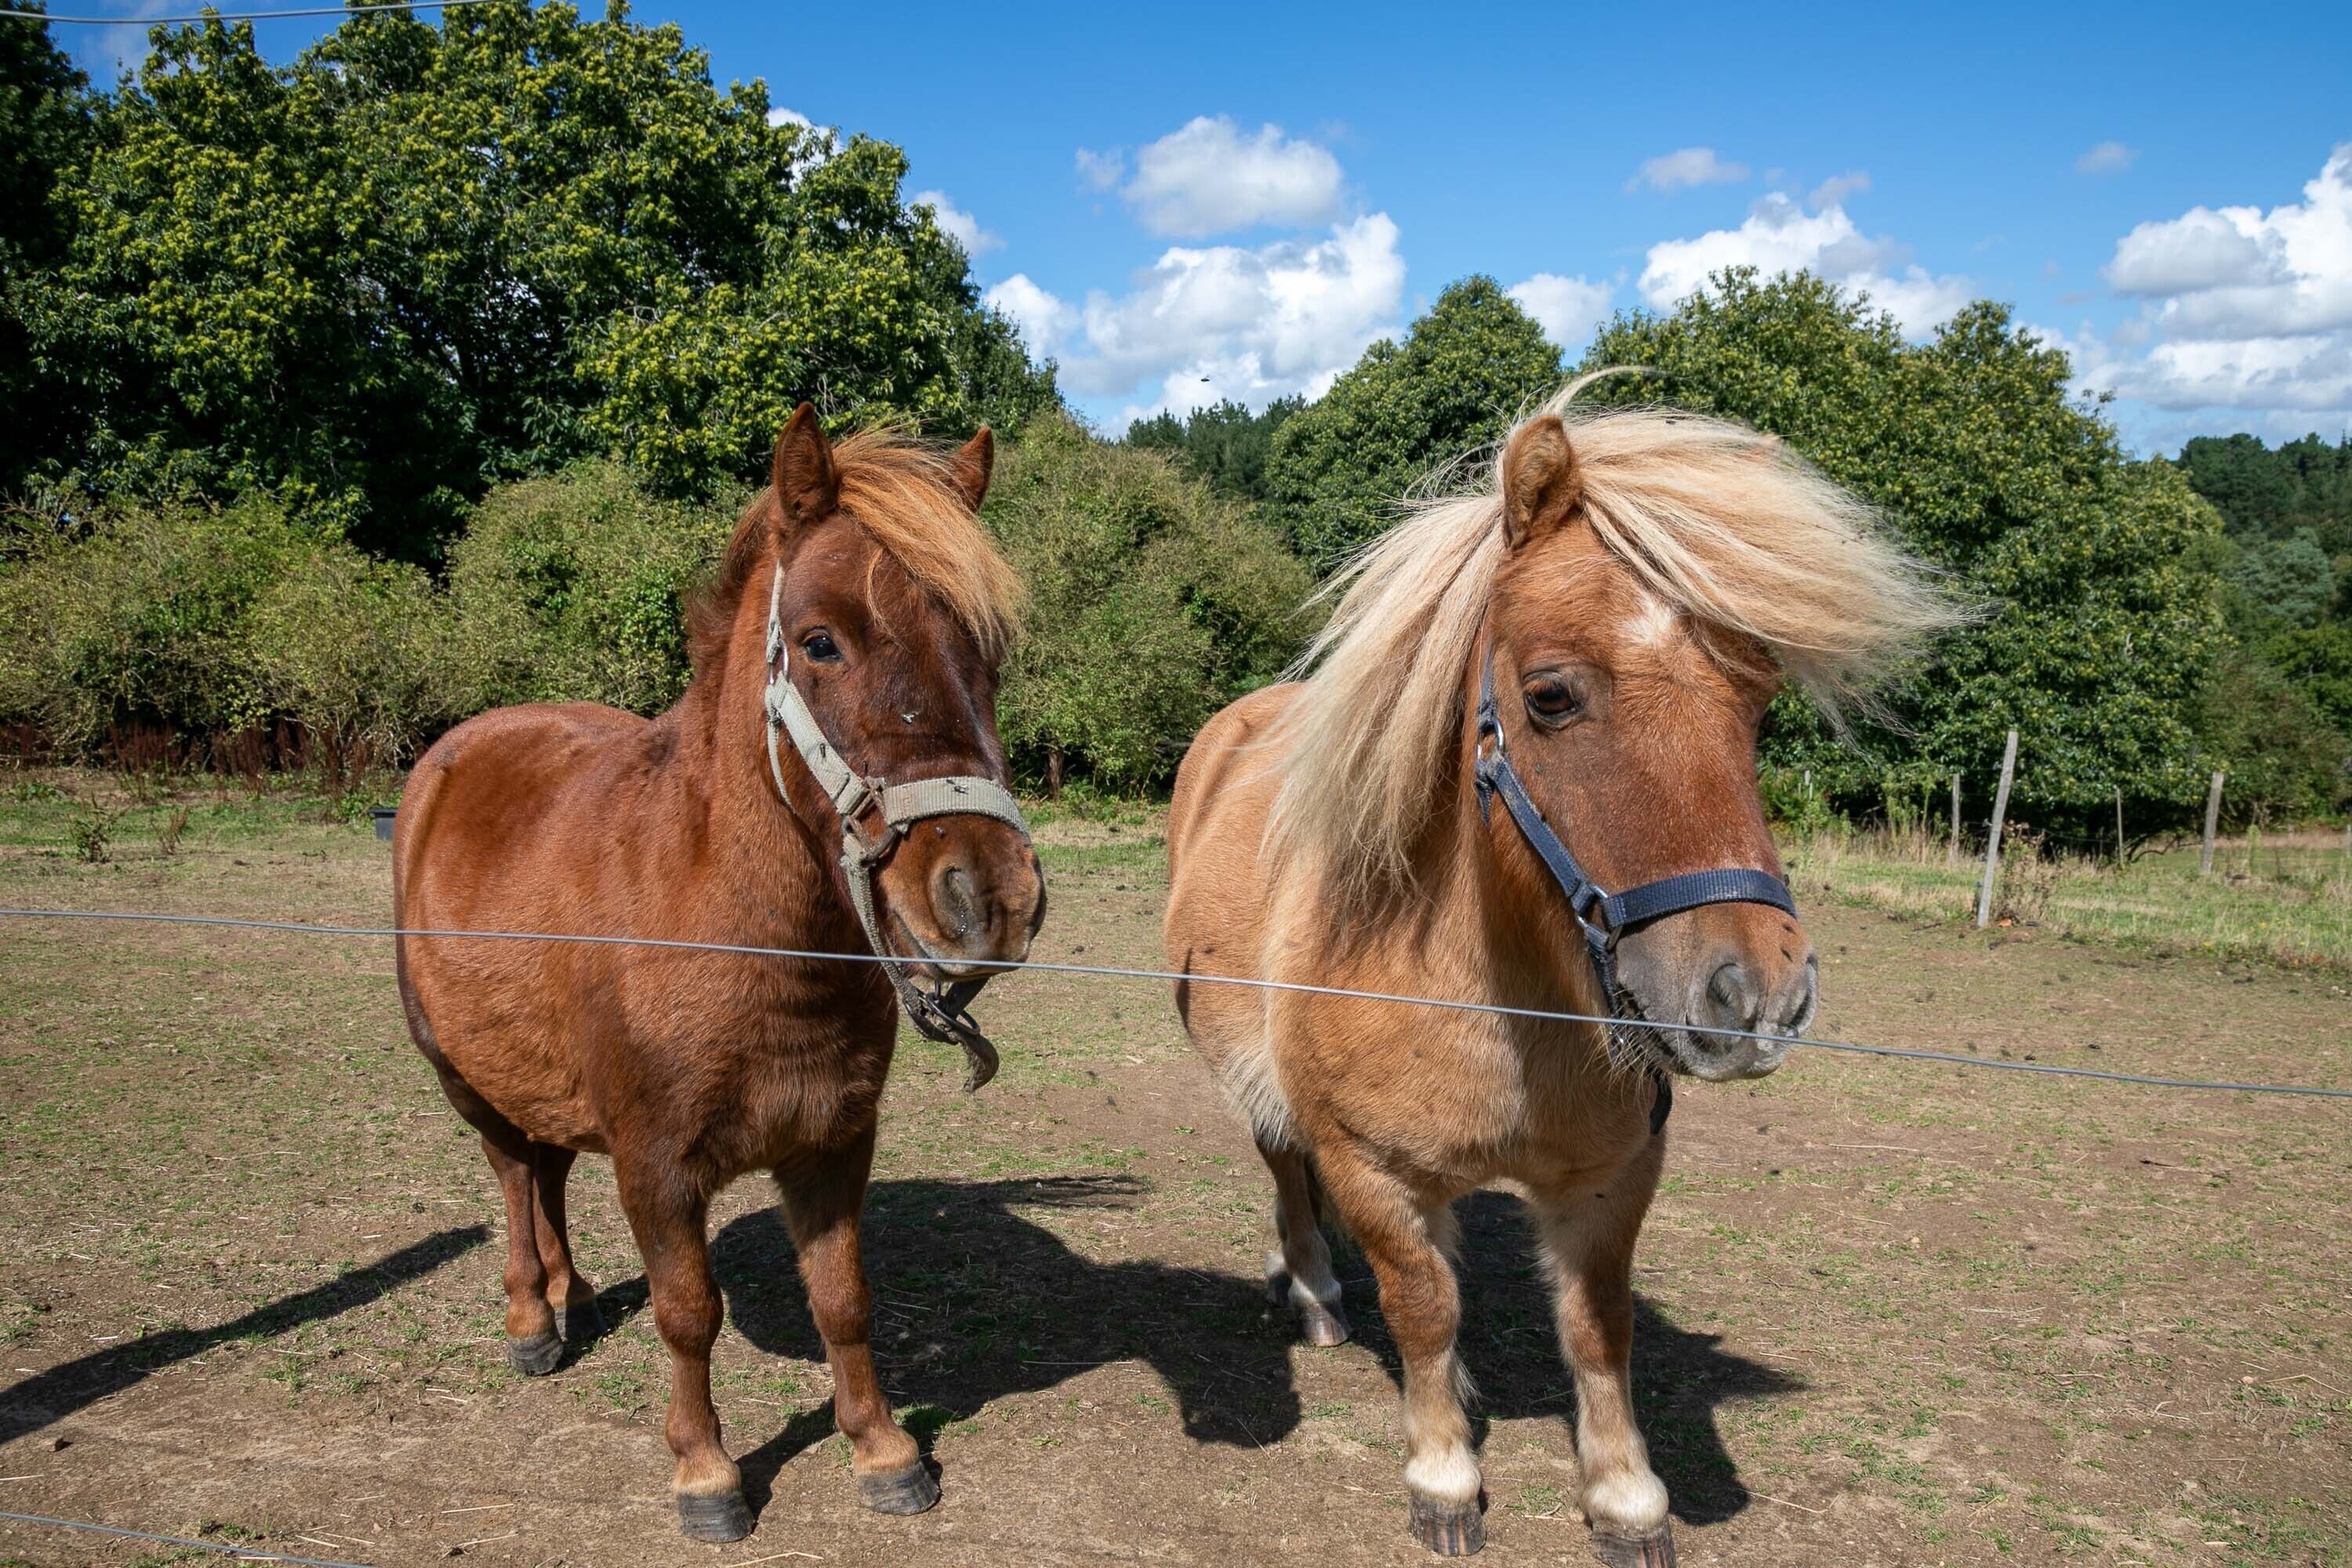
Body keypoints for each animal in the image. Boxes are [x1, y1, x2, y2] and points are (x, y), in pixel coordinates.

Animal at [393, 405, 1046, 1543]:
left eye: (988, 650)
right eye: (822, 641)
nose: (993, 897)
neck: (745, 941)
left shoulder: (833, 1145)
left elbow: (843, 1300)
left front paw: (883, 1452)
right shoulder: (657, 1167)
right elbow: (689, 1313)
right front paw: (705, 1473)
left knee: (548, 1169)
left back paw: (570, 1295)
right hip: (461, 1075)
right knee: (513, 1173)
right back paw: (530, 1317)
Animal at [1164, 379, 1953, 1563]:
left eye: (1759, 701)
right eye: (1549, 696)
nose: (1756, 996)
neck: (1495, 1003)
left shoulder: (1612, 1177)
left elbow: (1595, 1324)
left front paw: (1625, 1496)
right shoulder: (1371, 1168)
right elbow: (1422, 1304)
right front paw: (1443, 1475)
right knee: (1288, 1173)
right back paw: (1310, 1289)